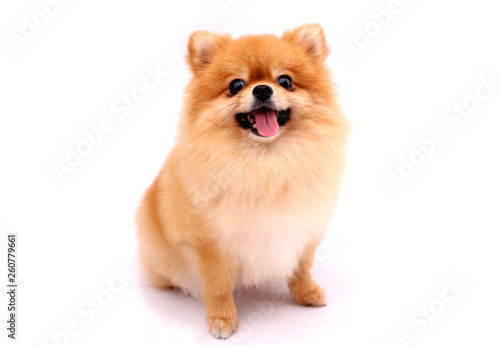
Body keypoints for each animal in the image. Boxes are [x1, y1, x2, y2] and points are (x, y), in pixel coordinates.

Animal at [135, 24, 350, 340]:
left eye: (285, 81)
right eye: (236, 85)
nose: (262, 89)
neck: (266, 162)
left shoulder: (305, 229)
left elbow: (301, 268)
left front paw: (307, 293)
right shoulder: (211, 244)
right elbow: (218, 286)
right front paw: (222, 319)